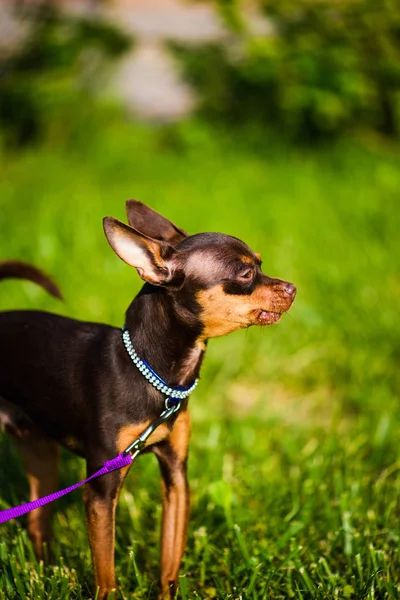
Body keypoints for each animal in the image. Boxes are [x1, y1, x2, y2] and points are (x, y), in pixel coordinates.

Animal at [0, 200, 294, 596]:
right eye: (246, 273)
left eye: (261, 265)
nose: (292, 288)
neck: (154, 378)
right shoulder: (101, 489)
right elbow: (106, 571)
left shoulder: (176, 479)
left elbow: (169, 563)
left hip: (41, 453)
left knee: (37, 519)